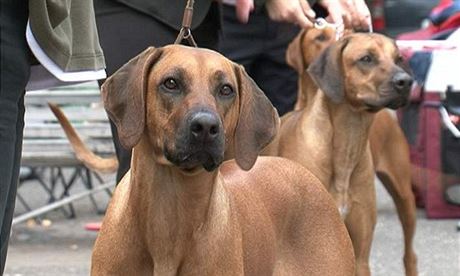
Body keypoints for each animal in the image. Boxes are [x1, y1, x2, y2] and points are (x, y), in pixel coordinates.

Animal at [264, 31, 416, 274]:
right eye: (366, 58)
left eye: (398, 58)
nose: (406, 81)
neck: (348, 141)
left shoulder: (360, 256)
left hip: (404, 197)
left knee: (410, 255)